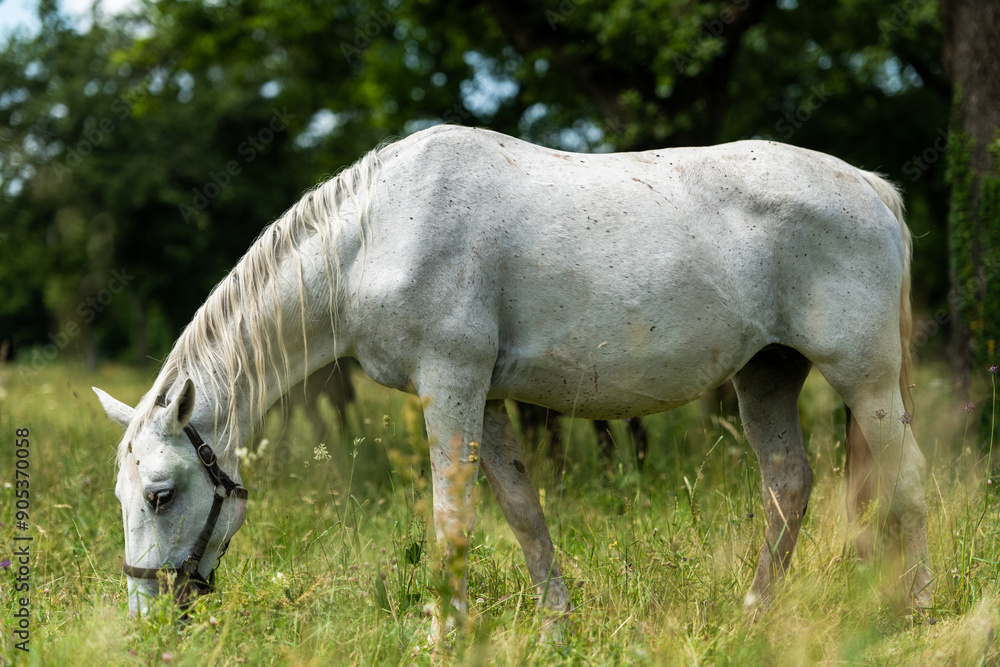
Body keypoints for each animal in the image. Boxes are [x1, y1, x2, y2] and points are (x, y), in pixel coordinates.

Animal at [94, 124, 931, 631]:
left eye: (160, 493)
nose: (144, 616)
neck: (376, 234)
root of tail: (869, 186)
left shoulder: (452, 386)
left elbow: (451, 519)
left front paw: (444, 631)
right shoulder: (487, 398)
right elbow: (524, 513)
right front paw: (557, 622)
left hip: (866, 381)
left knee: (906, 482)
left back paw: (915, 608)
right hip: (765, 377)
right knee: (788, 486)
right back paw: (754, 613)